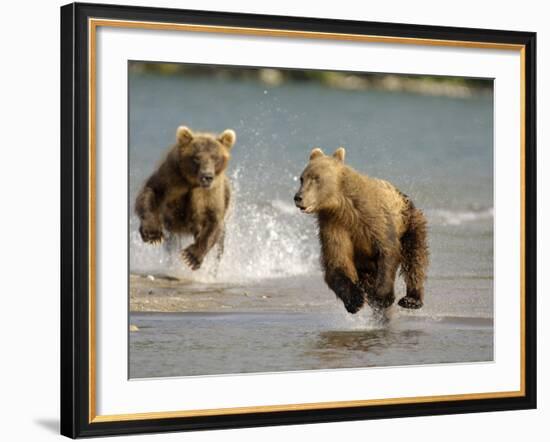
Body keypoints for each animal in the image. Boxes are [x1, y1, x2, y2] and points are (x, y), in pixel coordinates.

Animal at [136, 124, 237, 270]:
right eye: (197, 157)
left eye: (215, 157)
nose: (207, 176)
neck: (192, 182)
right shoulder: (170, 175)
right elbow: (151, 192)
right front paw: (153, 234)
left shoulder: (212, 193)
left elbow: (213, 221)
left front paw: (191, 257)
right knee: (171, 244)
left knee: (219, 246)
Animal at [294, 147, 432, 312]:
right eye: (302, 178)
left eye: (316, 178)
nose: (298, 197)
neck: (342, 206)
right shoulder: (334, 225)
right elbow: (337, 261)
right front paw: (355, 300)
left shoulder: (374, 219)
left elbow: (388, 251)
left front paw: (383, 297)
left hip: (409, 221)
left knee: (414, 258)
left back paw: (411, 299)